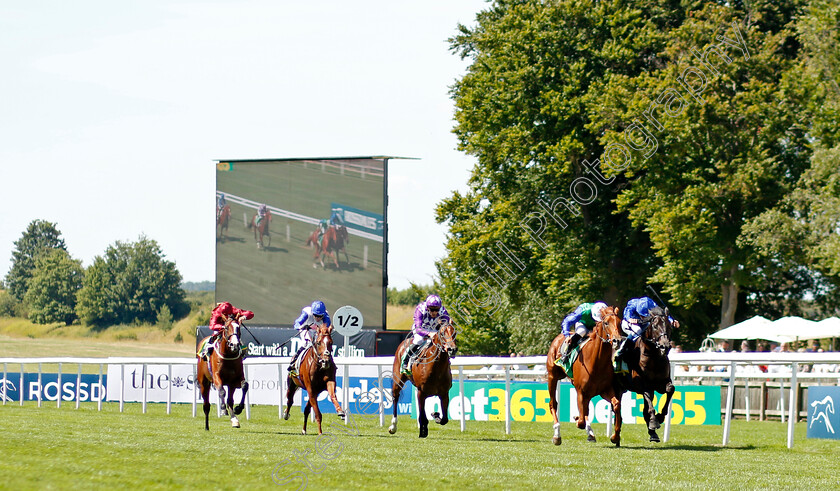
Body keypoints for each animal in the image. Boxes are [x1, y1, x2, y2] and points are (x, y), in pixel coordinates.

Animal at [544, 310, 624, 448]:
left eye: (619, 322)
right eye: (606, 323)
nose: (617, 340)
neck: (596, 361)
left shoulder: (605, 390)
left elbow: (616, 404)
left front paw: (615, 436)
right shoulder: (581, 391)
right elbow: (581, 420)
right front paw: (577, 420)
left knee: (586, 410)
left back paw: (590, 433)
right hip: (553, 376)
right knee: (553, 403)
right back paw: (557, 435)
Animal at [616, 308, 676, 442]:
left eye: (669, 326)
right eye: (654, 326)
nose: (665, 346)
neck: (654, 357)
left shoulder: (661, 383)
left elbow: (670, 389)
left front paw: (660, 417)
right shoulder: (643, 385)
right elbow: (649, 404)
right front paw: (654, 421)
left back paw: (653, 434)